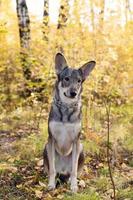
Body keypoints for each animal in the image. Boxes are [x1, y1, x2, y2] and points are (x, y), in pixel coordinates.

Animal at [43, 52, 96, 192]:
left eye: (79, 81)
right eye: (66, 79)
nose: (74, 93)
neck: (66, 107)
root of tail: (63, 171)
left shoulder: (76, 141)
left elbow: (74, 170)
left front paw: (73, 187)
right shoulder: (51, 139)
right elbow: (52, 170)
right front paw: (51, 184)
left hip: (81, 148)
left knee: (71, 172)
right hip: (46, 147)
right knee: (53, 170)